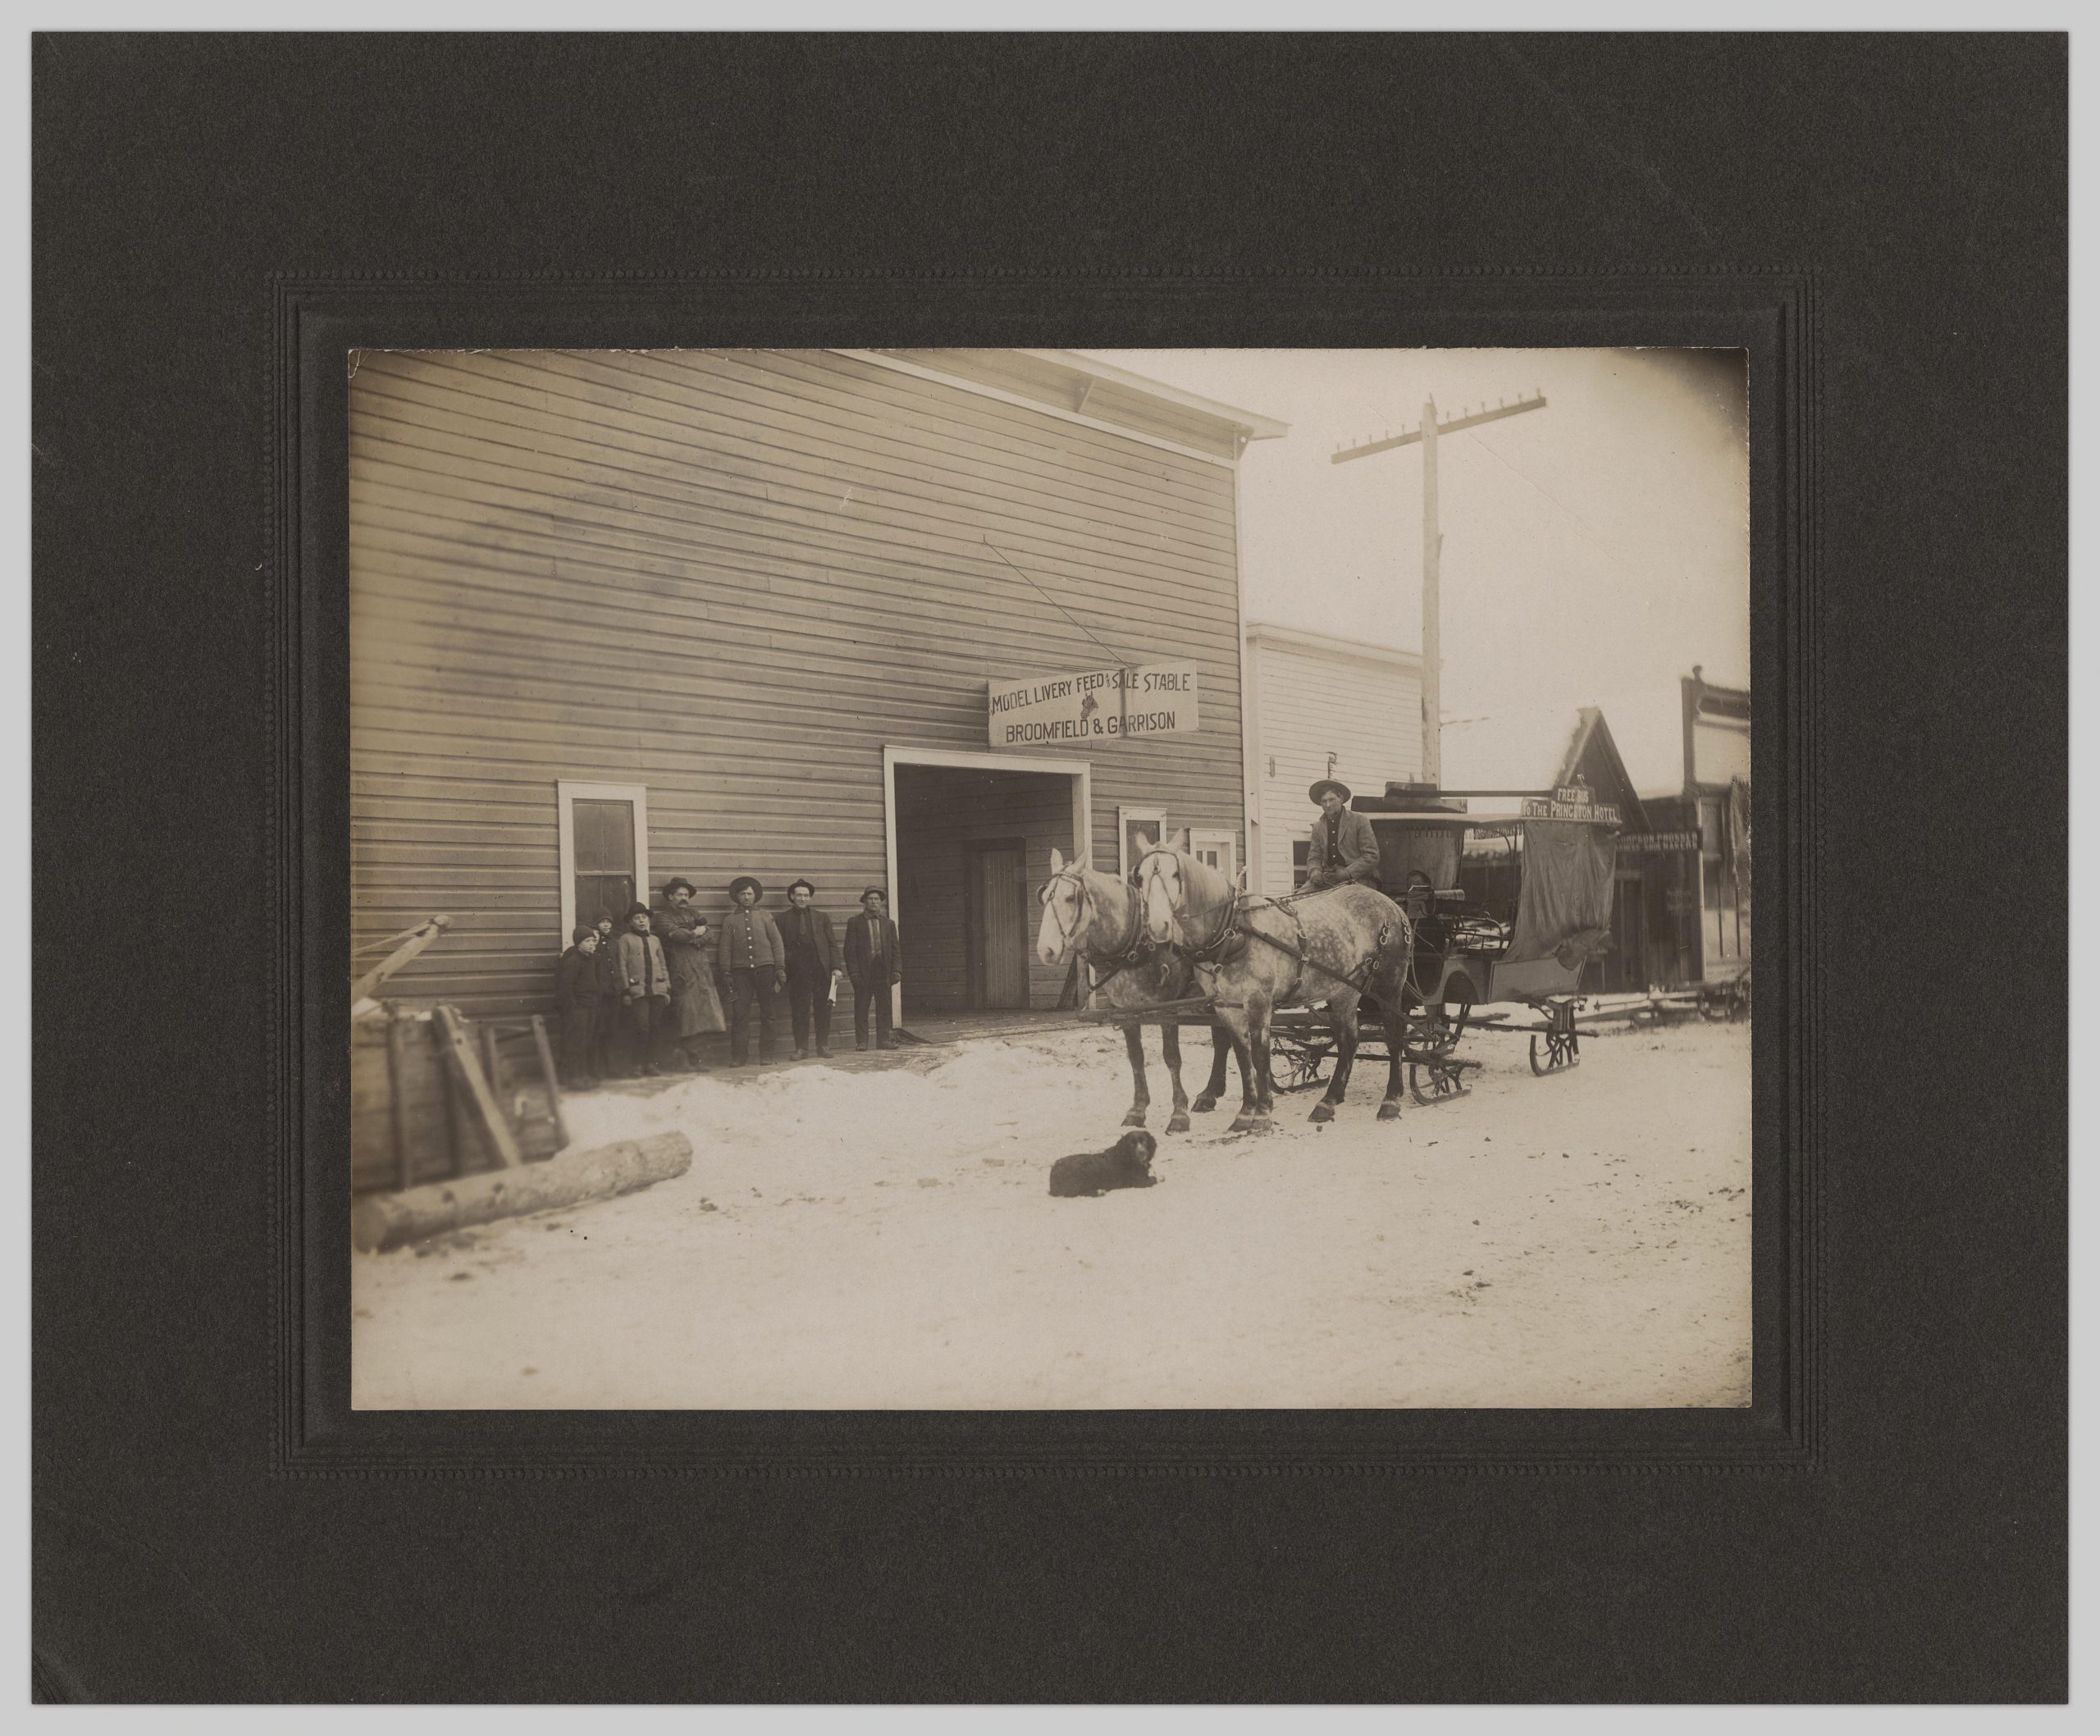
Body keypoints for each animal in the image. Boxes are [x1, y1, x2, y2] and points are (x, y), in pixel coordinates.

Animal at [1029, 843, 1235, 1141]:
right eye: (1044, 897)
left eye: (1069, 898)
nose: (1046, 950)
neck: (1136, 942)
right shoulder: (1126, 1011)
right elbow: (1136, 1058)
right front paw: (1137, 1110)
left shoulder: (1167, 1009)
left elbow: (1172, 1058)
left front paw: (1178, 1115)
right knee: (1222, 1038)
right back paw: (1211, 1093)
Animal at [1050, 1125, 1167, 1192]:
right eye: (1132, 1144)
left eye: (1144, 1141)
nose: (1142, 1153)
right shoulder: (1139, 1182)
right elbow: (1153, 1179)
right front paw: (1159, 1177)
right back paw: (1100, 1191)